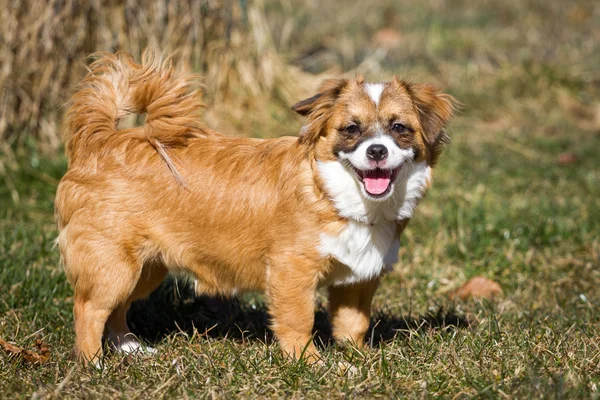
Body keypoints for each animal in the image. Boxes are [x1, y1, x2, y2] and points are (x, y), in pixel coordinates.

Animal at [56, 49, 458, 362]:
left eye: (399, 128)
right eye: (351, 129)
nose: (376, 150)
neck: (333, 193)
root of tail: (101, 141)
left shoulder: (357, 282)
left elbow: (352, 324)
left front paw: (358, 358)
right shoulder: (291, 272)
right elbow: (298, 322)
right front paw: (310, 364)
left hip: (145, 269)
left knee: (117, 309)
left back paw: (129, 348)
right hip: (114, 266)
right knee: (89, 309)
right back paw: (94, 364)